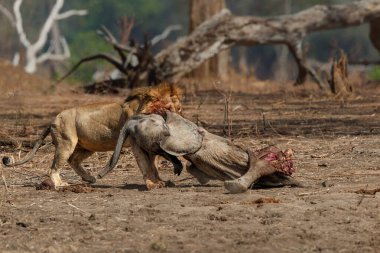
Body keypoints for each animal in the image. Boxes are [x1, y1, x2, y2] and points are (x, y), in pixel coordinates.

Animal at [1, 82, 183, 189]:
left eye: (179, 108)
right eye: (168, 108)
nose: (178, 118)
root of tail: (53, 119)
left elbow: (154, 165)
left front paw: (159, 181)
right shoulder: (135, 143)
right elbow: (145, 164)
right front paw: (152, 184)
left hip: (87, 147)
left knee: (73, 160)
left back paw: (89, 179)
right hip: (66, 143)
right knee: (54, 167)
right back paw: (61, 184)